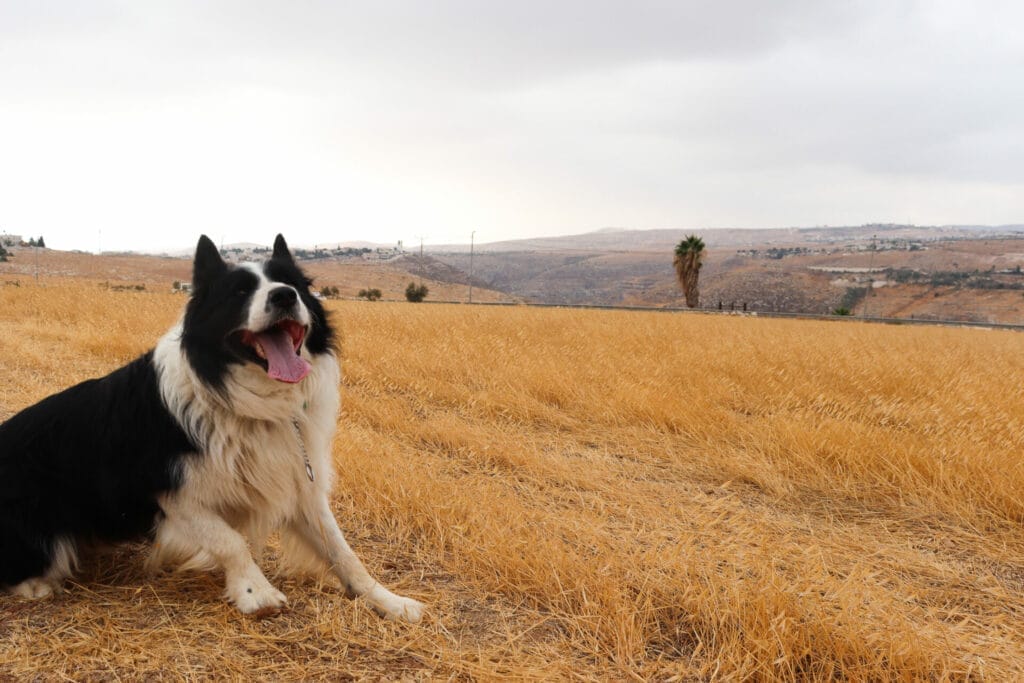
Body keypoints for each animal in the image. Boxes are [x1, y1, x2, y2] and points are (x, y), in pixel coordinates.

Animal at [0, 237, 423, 622]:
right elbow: (229, 540)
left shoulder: (298, 482)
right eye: (239, 292)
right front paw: (256, 593)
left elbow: (341, 550)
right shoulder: (170, 492)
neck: (245, 399)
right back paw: (37, 584)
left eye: (294, 285)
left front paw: (390, 601)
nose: (284, 297)